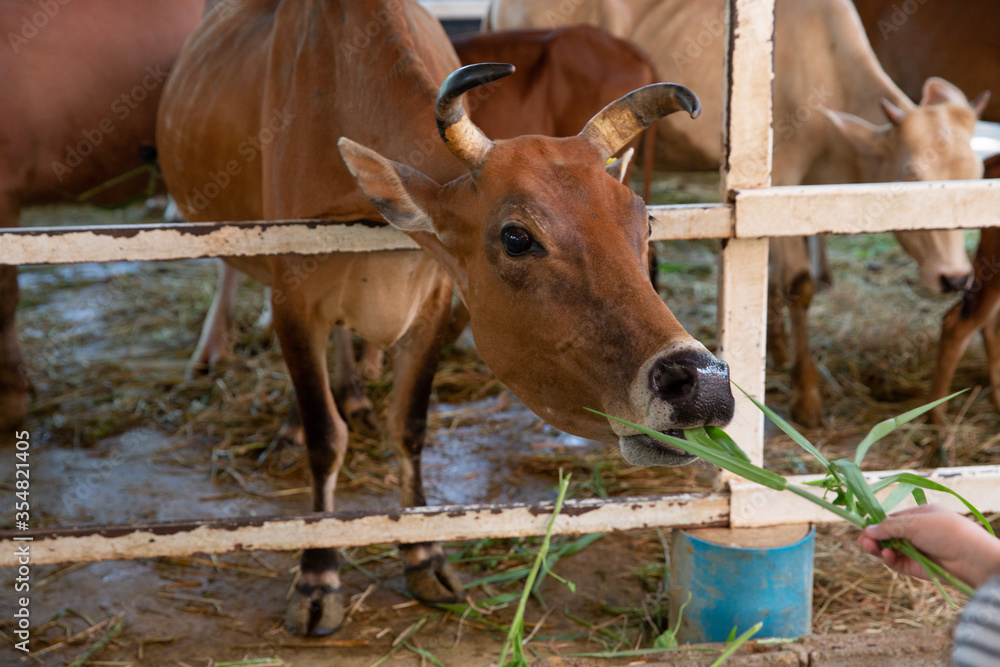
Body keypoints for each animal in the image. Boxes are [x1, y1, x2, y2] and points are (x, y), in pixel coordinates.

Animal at [156, 0, 736, 636]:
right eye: (516, 236)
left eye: (644, 220)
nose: (702, 385)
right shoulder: (294, 301)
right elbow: (324, 437)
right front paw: (317, 576)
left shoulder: (434, 306)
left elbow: (409, 425)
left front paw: (422, 554)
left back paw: (352, 395)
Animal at [488, 0, 988, 428]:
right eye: (911, 174)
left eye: (977, 174)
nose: (955, 278)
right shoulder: (778, 178)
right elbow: (799, 285)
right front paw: (807, 394)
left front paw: (780, 349)